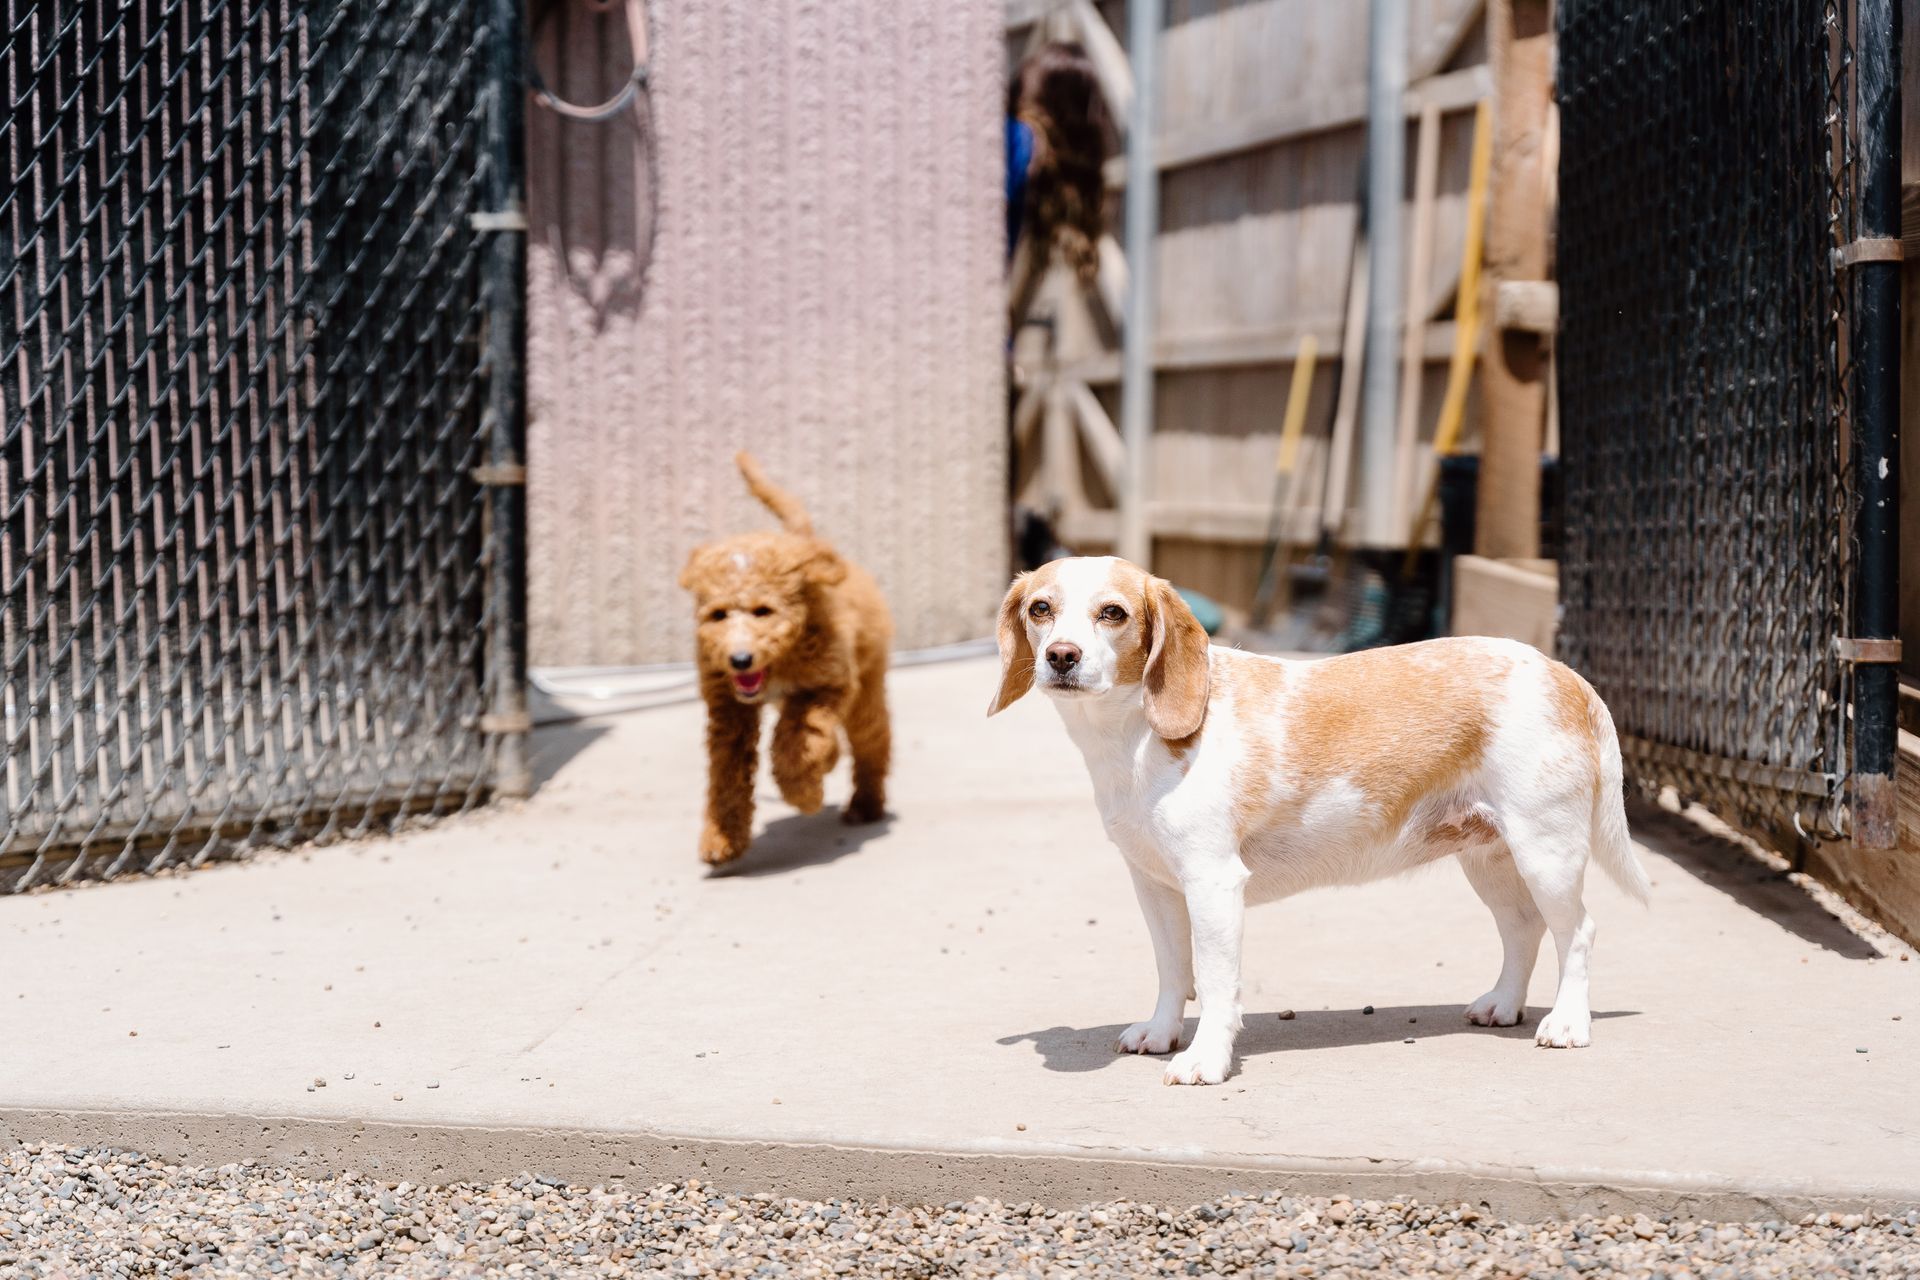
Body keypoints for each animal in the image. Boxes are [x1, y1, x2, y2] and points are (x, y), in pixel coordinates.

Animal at [679, 454, 894, 867]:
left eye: (763, 611)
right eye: (718, 615)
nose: (740, 660)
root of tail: (804, 542)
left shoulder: (827, 684)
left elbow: (799, 743)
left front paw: (805, 794)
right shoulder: (728, 708)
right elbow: (726, 772)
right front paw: (721, 838)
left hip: (866, 682)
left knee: (871, 737)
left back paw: (865, 803)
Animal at [990, 556, 1651, 1090]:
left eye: (1113, 613)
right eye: (1041, 608)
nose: (1061, 657)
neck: (1131, 737)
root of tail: (1564, 673)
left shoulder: (1212, 885)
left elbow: (1215, 982)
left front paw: (1205, 1060)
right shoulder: (1154, 886)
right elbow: (1173, 970)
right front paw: (1160, 1031)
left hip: (1547, 855)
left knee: (1578, 932)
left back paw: (1568, 1023)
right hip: (1489, 861)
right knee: (1524, 931)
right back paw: (1505, 1005)